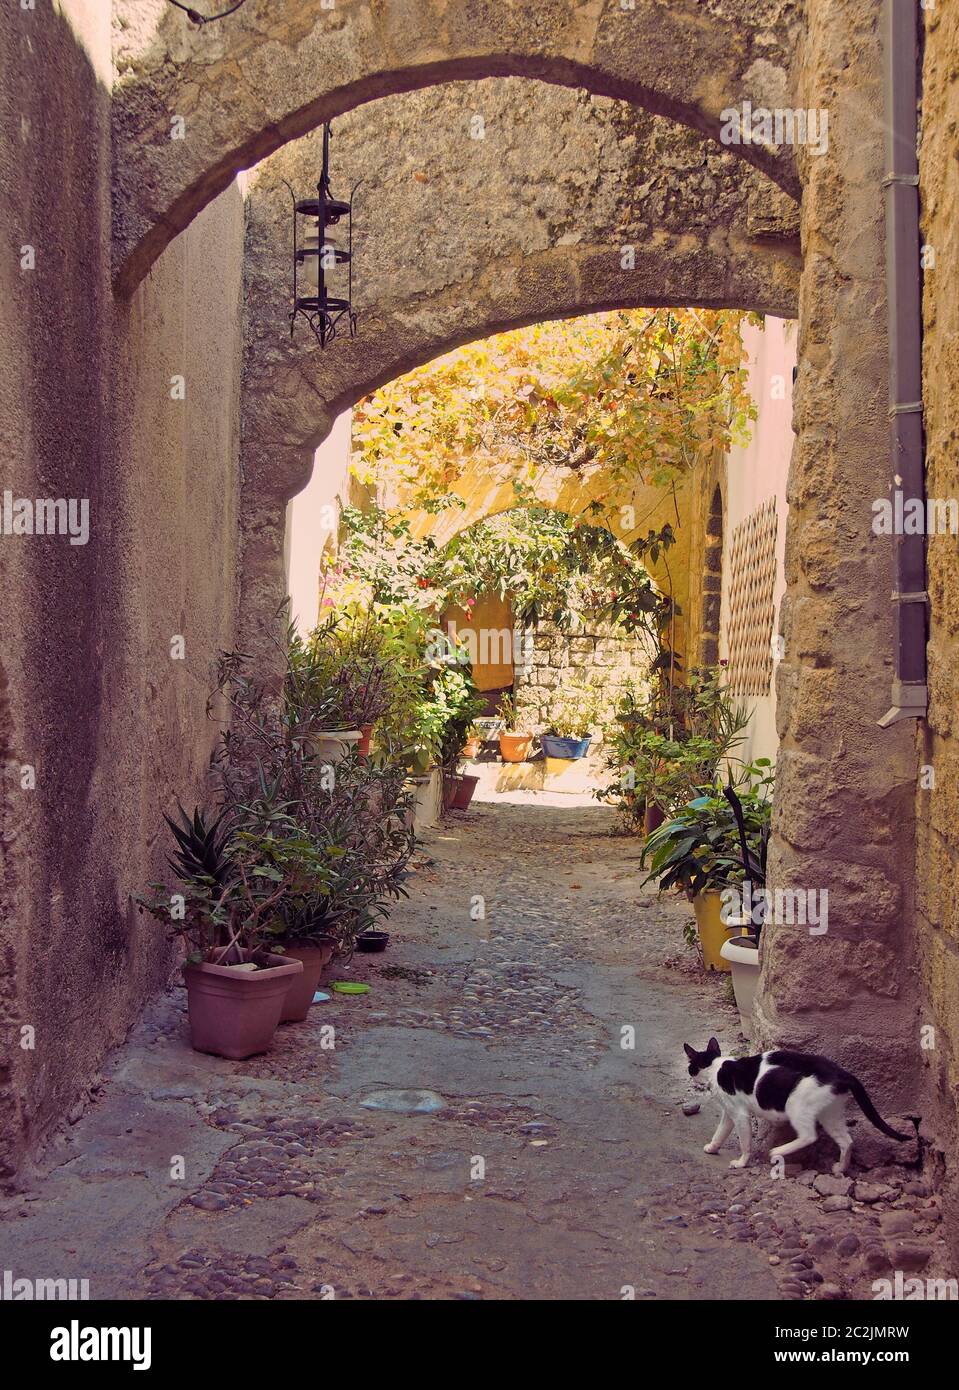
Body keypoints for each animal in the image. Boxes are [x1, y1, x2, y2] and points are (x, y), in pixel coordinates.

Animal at [681, 1039, 911, 1167]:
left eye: (691, 1065)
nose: (690, 1071)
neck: (716, 1067)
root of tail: (842, 1072)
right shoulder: (729, 1113)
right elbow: (720, 1132)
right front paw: (712, 1147)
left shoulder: (740, 1114)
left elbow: (745, 1143)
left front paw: (741, 1162)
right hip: (830, 1114)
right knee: (847, 1141)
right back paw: (840, 1169)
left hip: (796, 1105)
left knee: (809, 1136)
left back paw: (777, 1151)